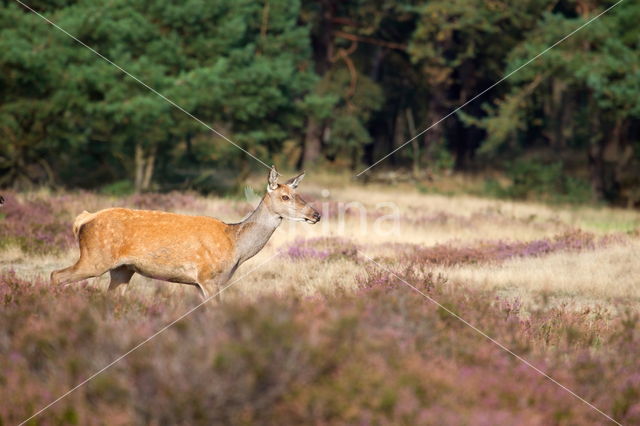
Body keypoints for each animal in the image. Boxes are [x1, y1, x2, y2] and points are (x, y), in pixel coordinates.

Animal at [51, 166, 320, 300]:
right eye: (285, 196)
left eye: (298, 194)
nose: (316, 214)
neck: (236, 246)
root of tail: (84, 219)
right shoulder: (208, 278)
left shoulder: (200, 284)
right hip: (95, 257)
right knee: (56, 275)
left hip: (122, 269)